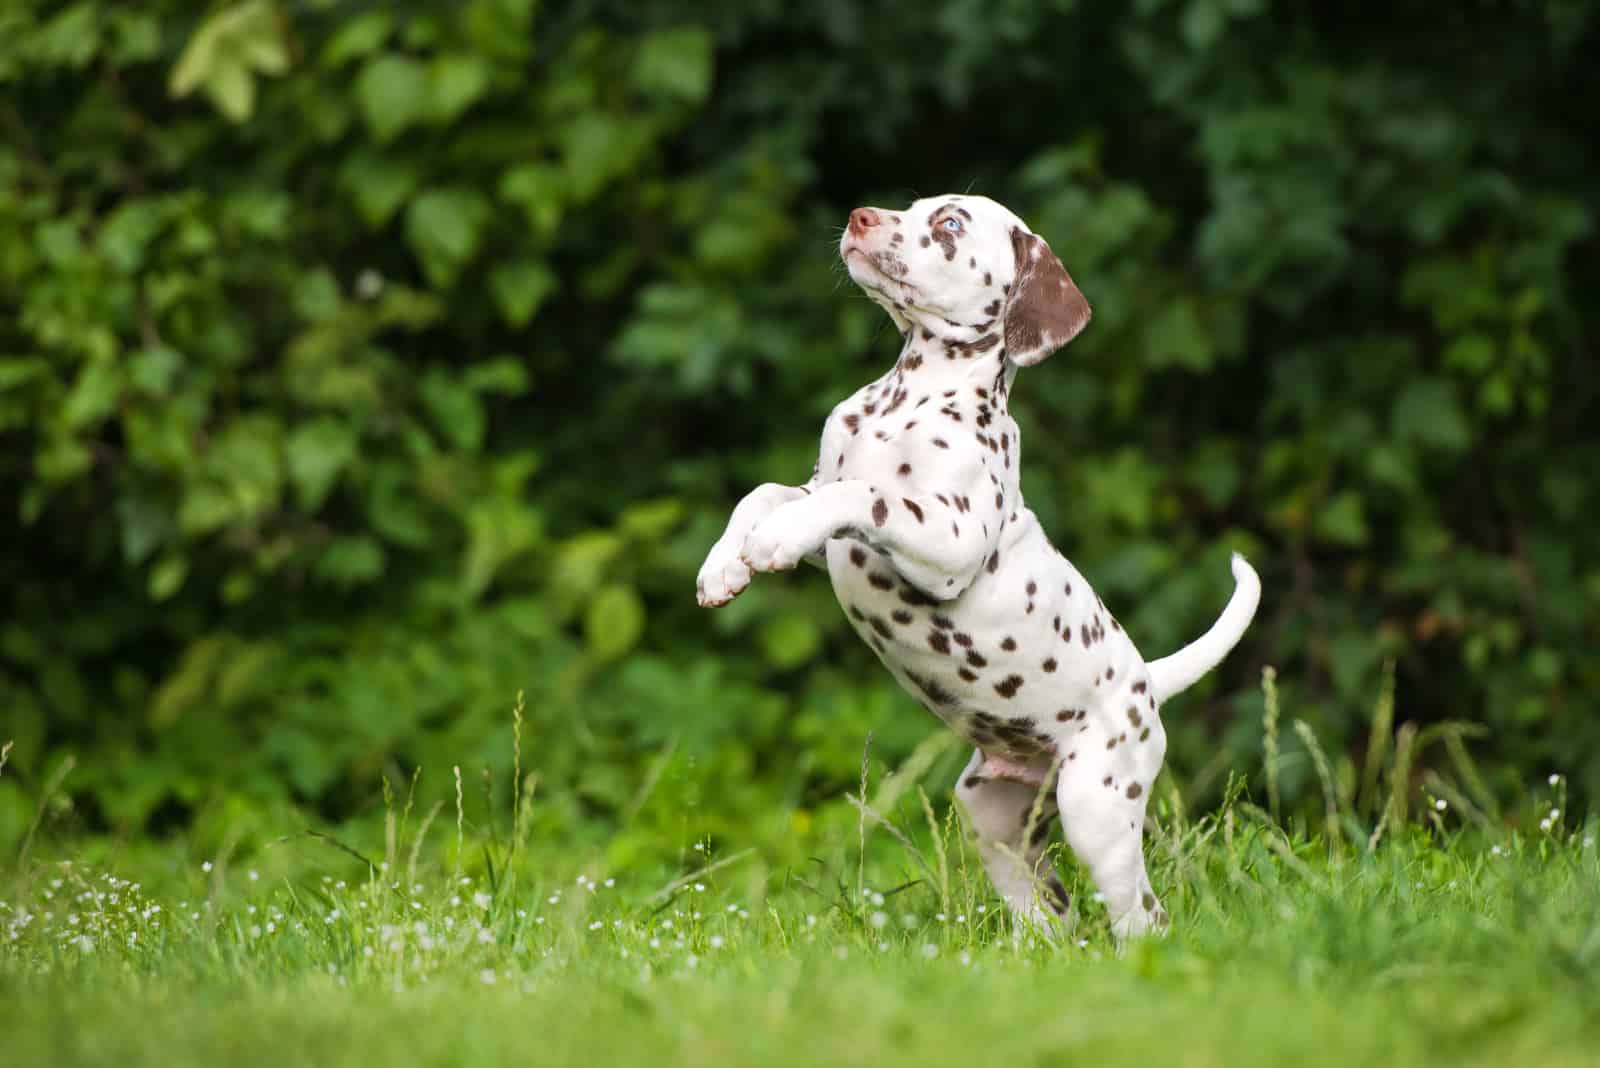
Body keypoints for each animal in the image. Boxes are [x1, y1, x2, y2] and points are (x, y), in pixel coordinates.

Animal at [700, 195, 1260, 940]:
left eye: (950, 223)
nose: (860, 215)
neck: (909, 398)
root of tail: (1146, 681)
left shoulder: (949, 538)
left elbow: (865, 494)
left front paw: (771, 542)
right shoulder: (826, 516)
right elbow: (763, 494)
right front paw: (724, 567)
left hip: (1096, 812)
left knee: (1142, 917)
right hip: (996, 822)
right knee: (1051, 914)